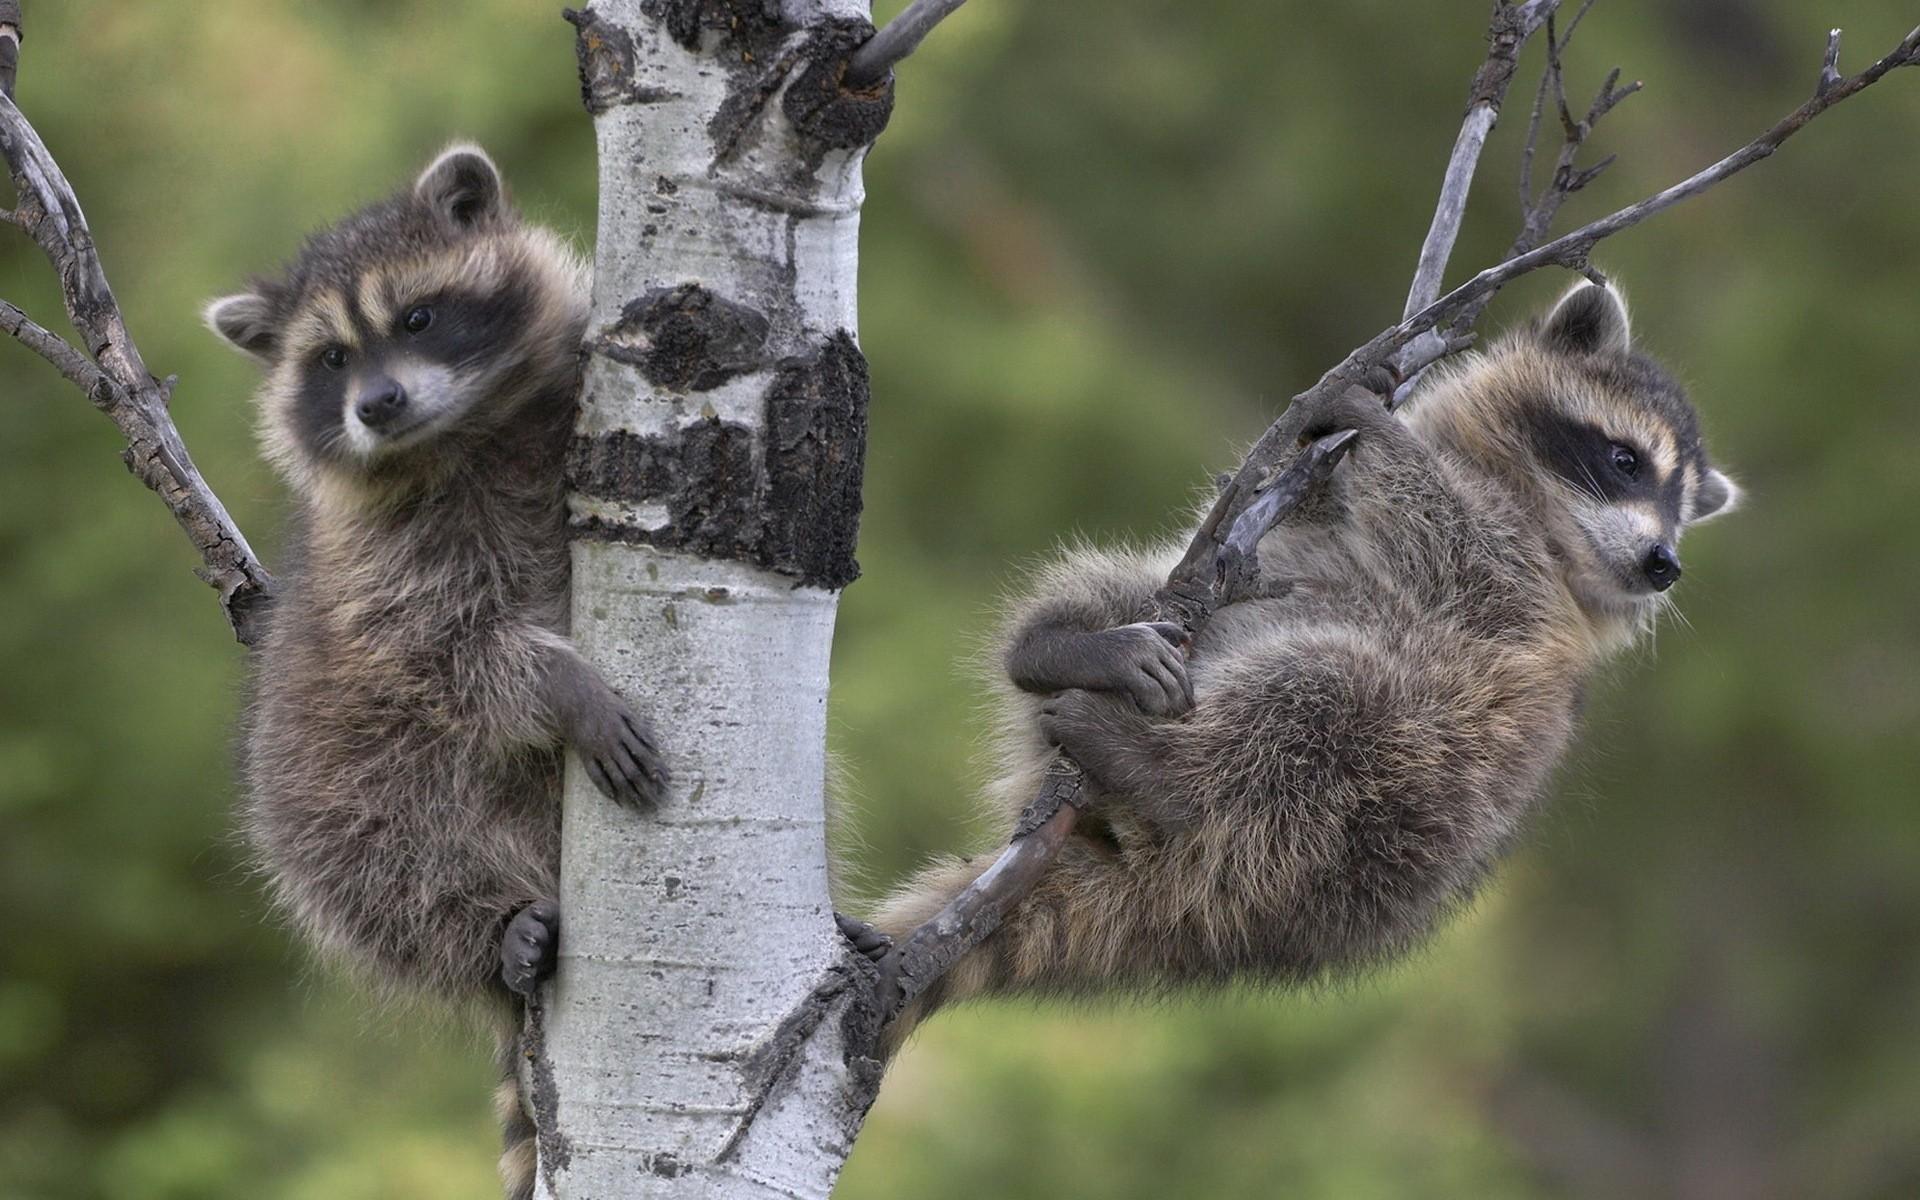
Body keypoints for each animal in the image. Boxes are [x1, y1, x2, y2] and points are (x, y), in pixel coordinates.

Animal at [203, 144, 668, 1190]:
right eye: (332, 359)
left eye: (416, 318)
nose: (377, 405)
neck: (462, 433)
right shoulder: (381, 568)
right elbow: (447, 654)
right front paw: (561, 687)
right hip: (321, 778)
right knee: (372, 862)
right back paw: (490, 930)